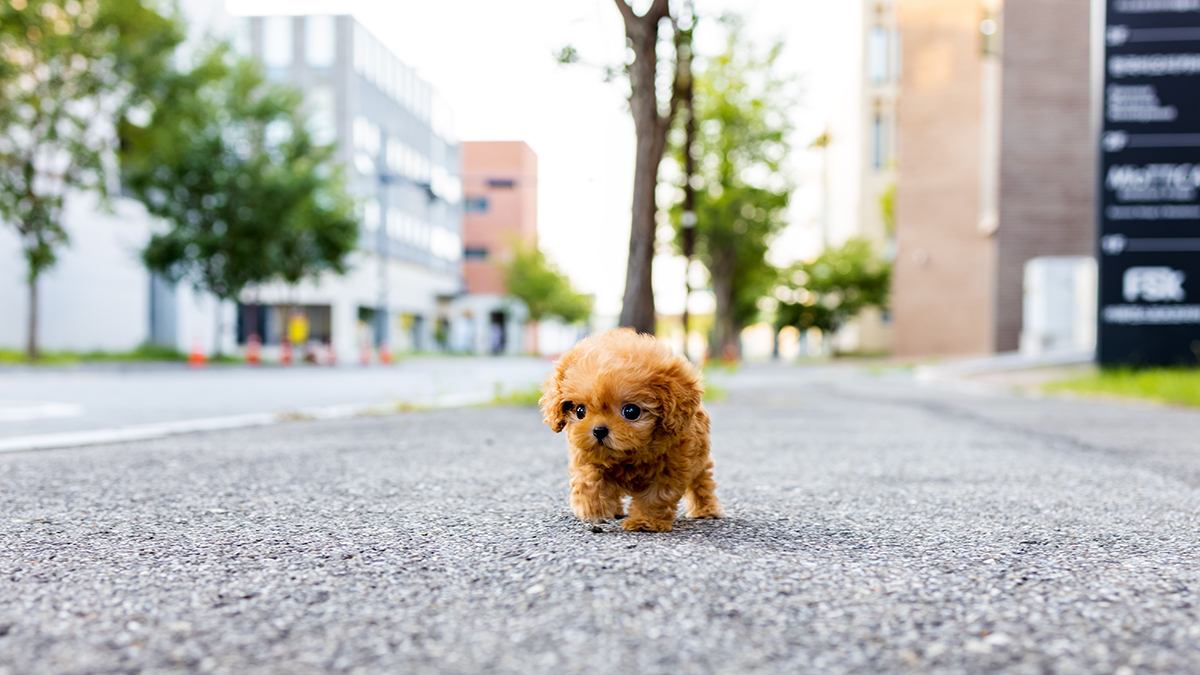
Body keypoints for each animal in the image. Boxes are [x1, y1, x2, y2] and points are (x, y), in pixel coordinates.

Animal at [542, 326, 724, 530]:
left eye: (631, 411)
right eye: (580, 411)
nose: (599, 431)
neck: (627, 455)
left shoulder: (672, 467)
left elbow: (656, 496)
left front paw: (645, 522)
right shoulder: (586, 455)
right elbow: (588, 478)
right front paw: (592, 508)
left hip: (700, 461)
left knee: (703, 483)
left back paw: (706, 510)